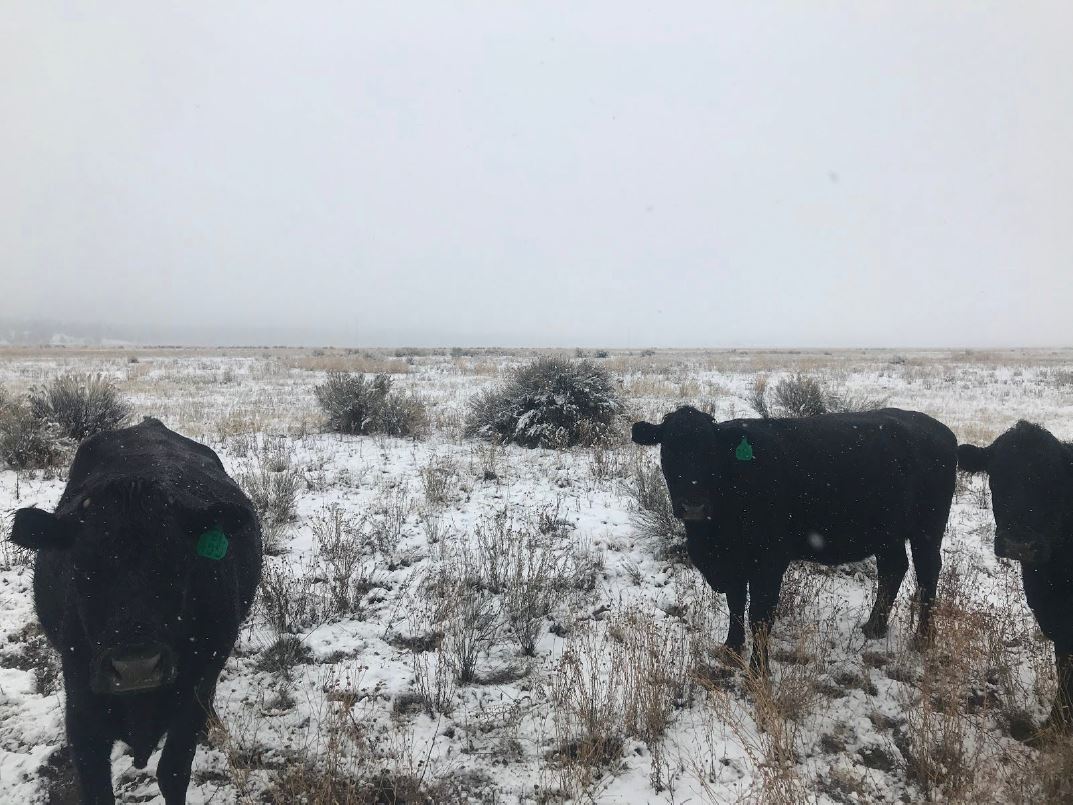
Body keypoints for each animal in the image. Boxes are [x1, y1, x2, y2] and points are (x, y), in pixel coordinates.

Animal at [7, 418, 262, 802]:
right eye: (81, 566)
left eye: (178, 561)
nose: (136, 667)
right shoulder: (82, 716)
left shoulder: (191, 697)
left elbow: (173, 772)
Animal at [626, 405, 957, 669]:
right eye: (669, 449)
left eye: (711, 452)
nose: (694, 505)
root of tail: (940, 431)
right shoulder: (734, 562)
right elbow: (735, 604)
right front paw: (731, 648)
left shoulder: (770, 559)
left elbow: (759, 615)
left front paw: (759, 671)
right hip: (887, 534)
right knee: (893, 568)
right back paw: (874, 626)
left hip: (928, 529)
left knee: (927, 573)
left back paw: (922, 638)